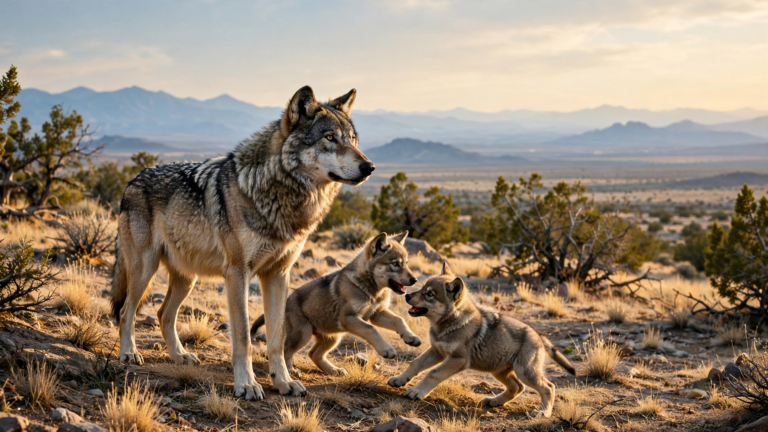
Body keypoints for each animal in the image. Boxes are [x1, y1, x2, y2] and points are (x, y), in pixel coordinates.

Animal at [110, 86, 373, 400]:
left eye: (353, 140)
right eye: (330, 138)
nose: (369, 166)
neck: (279, 196)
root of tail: (132, 180)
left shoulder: (277, 275)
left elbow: (276, 338)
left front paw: (283, 382)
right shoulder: (237, 273)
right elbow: (244, 339)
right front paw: (246, 384)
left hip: (187, 279)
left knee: (164, 314)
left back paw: (179, 356)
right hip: (145, 268)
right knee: (126, 311)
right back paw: (129, 353)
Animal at [250, 231, 421, 376]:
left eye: (406, 263)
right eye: (395, 264)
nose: (414, 280)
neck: (371, 290)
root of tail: (286, 301)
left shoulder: (376, 313)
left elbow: (399, 320)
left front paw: (411, 337)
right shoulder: (349, 317)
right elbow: (371, 329)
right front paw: (386, 349)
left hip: (332, 337)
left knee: (314, 354)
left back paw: (334, 370)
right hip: (304, 334)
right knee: (286, 351)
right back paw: (291, 371)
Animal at [388, 263, 575, 417]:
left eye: (430, 294)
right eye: (422, 289)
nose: (407, 296)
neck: (451, 323)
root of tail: (539, 336)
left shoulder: (457, 359)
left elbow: (433, 373)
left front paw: (417, 391)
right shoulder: (437, 351)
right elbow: (416, 363)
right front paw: (399, 379)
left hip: (524, 371)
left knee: (548, 387)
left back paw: (543, 412)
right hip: (499, 370)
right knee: (517, 387)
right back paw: (494, 401)